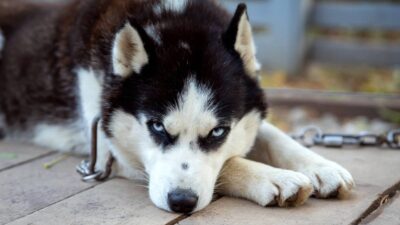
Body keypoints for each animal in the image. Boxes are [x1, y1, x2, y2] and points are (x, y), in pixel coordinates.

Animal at [0, 0, 354, 214]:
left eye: (218, 132)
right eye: (157, 126)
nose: (182, 202)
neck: (171, 19)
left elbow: (273, 136)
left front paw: (320, 166)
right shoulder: (106, 151)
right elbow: (229, 163)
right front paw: (273, 177)